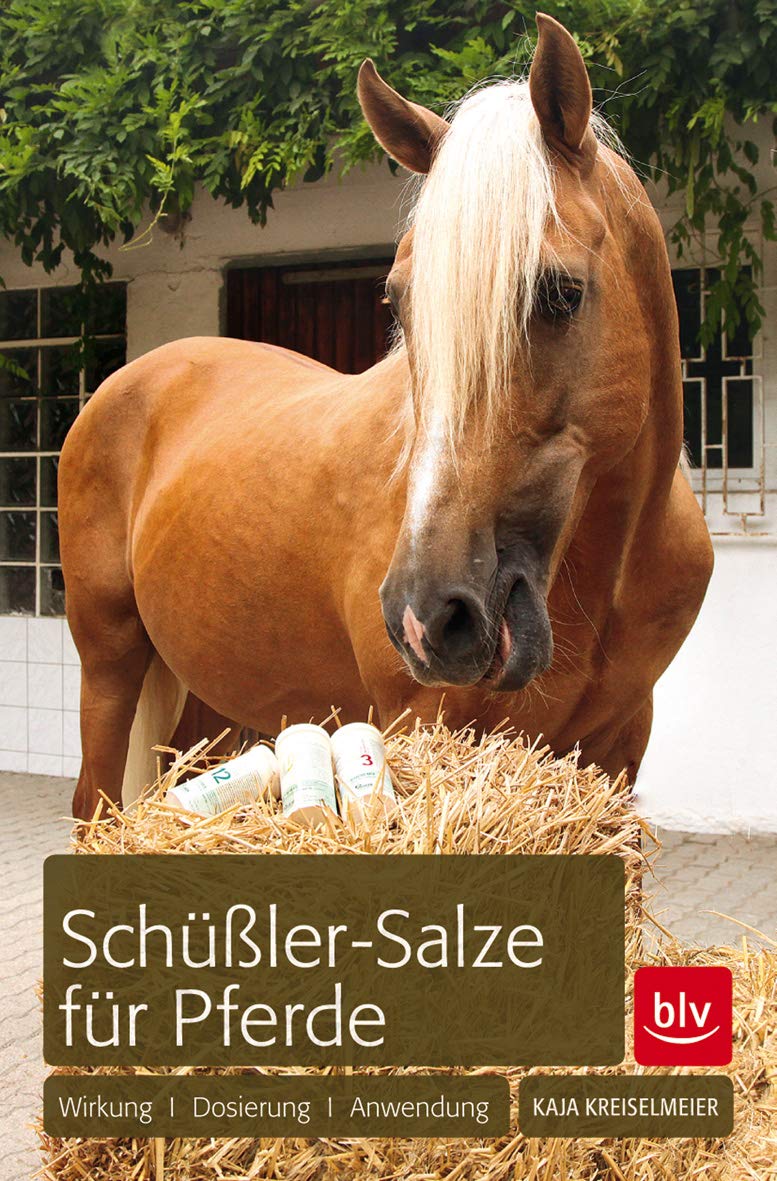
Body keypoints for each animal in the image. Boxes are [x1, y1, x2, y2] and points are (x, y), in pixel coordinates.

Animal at [59, 13, 713, 820]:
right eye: (397, 298)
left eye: (561, 292)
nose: (427, 616)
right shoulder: (421, 723)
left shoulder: (619, 747)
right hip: (109, 666)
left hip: (208, 701)